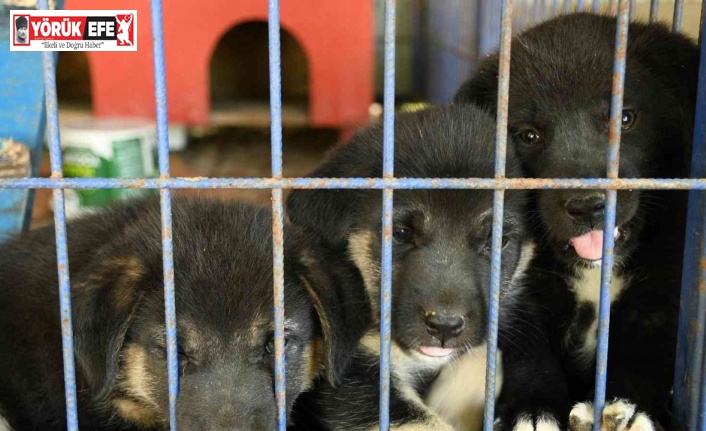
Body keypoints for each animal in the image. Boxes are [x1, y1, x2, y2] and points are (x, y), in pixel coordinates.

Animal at [286, 105, 556, 431]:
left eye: (497, 240)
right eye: (401, 233)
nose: (444, 327)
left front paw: (532, 409)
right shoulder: (357, 374)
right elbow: (421, 420)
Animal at [454, 11, 696, 431]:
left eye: (624, 118)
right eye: (528, 135)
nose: (586, 206)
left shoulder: (663, 294)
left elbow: (646, 356)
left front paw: (628, 407)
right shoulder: (520, 290)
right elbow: (530, 353)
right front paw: (533, 409)